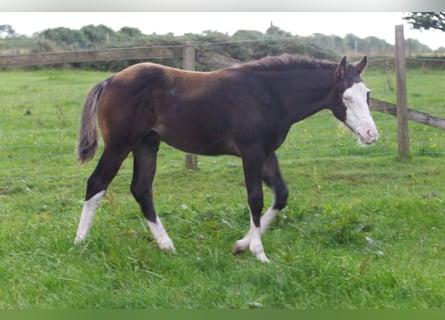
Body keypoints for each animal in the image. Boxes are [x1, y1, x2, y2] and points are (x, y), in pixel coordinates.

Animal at [74, 53, 376, 262]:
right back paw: (80, 242)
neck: (270, 94)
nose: (371, 134)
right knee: (97, 183)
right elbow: (255, 198)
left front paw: (241, 245)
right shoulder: (251, 151)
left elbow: (281, 195)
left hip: (147, 144)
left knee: (141, 189)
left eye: (367, 94)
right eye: (346, 97)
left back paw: (167, 245)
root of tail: (110, 80)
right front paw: (259, 252)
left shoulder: (267, 153)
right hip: (120, 144)